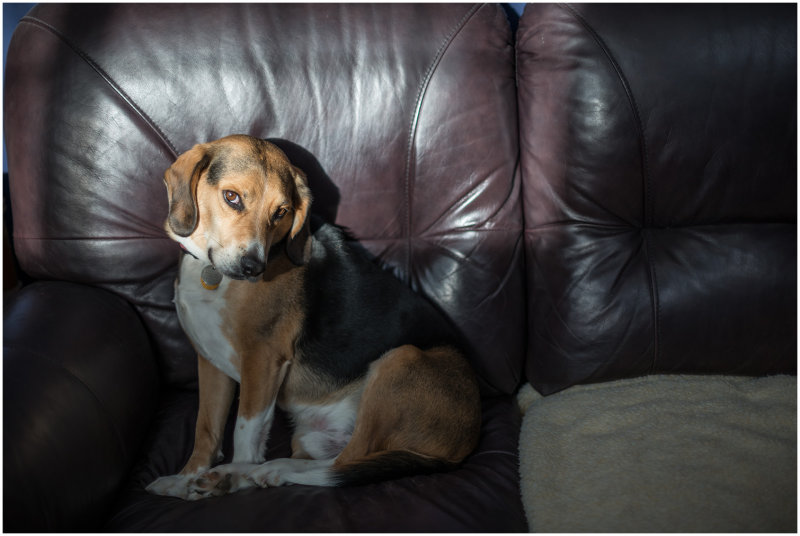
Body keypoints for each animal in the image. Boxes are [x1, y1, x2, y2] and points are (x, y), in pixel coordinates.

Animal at [146, 133, 478, 498]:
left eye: (281, 212)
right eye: (232, 197)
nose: (253, 268)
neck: (212, 272)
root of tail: (463, 446)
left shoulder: (263, 359)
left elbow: (245, 431)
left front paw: (229, 472)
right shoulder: (210, 363)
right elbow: (206, 430)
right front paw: (184, 479)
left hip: (399, 360)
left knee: (345, 465)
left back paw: (241, 474)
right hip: (309, 437)